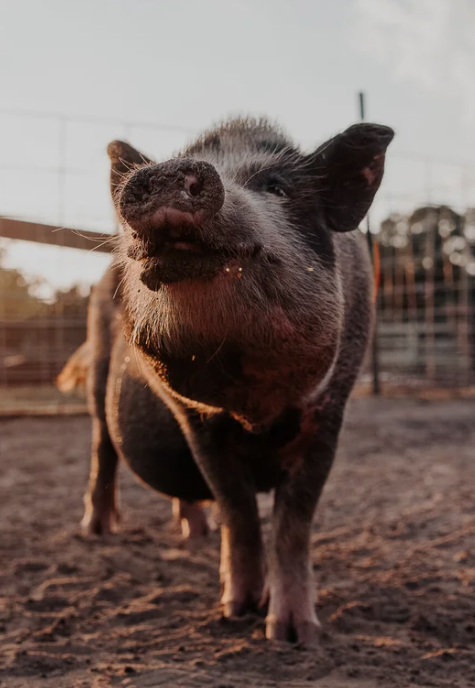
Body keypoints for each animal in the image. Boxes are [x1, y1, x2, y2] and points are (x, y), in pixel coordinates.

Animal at [75, 116, 393, 644]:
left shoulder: (330, 411)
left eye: (278, 187)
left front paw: (294, 636)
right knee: (102, 447)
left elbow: (294, 519)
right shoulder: (198, 423)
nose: (166, 172)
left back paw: (195, 535)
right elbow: (238, 509)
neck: (253, 408)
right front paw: (236, 613)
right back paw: (96, 533)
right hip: (98, 369)